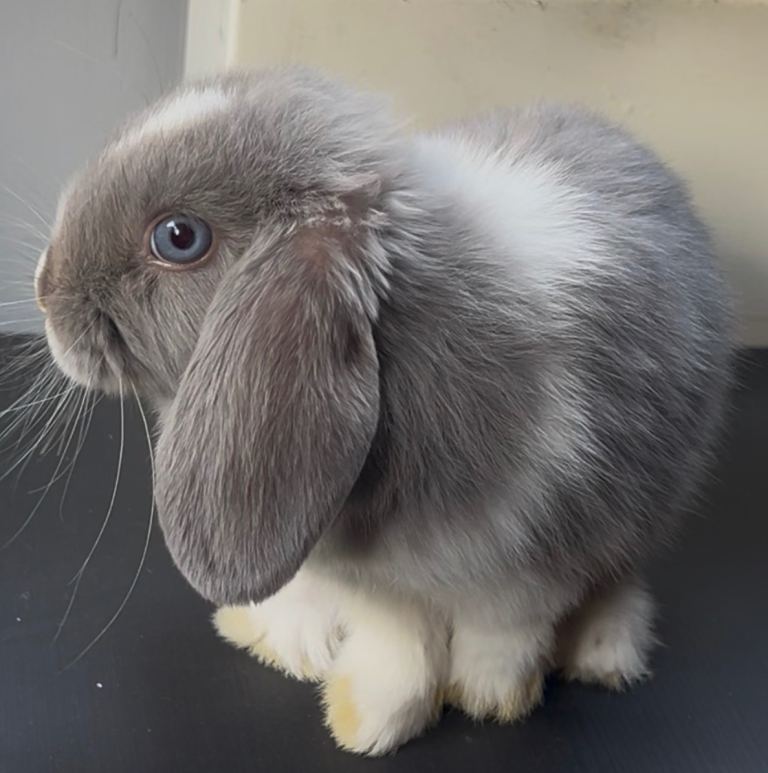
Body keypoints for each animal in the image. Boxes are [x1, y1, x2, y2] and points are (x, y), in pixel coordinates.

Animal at [35, 67, 733, 755]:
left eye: (179, 238)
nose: (44, 288)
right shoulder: (368, 578)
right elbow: (397, 639)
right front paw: (356, 701)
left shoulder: (535, 556)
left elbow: (501, 632)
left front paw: (480, 699)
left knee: (615, 578)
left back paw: (603, 654)